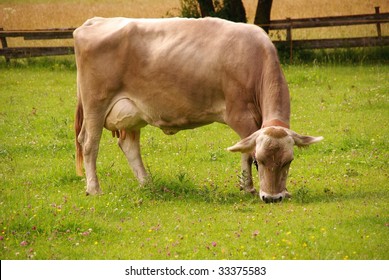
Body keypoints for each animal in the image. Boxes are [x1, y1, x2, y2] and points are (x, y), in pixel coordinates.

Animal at [73, 17, 322, 201]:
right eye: (259, 161)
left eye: (288, 161)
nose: (272, 198)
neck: (254, 59)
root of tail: (96, 20)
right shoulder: (240, 114)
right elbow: (245, 149)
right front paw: (249, 187)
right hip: (96, 103)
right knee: (89, 143)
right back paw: (94, 189)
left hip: (132, 113)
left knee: (129, 146)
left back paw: (148, 183)